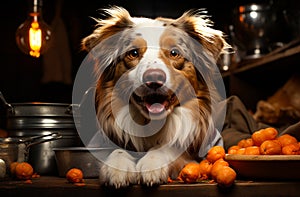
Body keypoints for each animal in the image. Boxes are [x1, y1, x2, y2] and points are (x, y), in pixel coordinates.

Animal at [81, 5, 229, 188]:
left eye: (174, 52)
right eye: (133, 53)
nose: (154, 78)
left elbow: (167, 148)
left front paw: (152, 163)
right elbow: (116, 149)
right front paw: (117, 167)